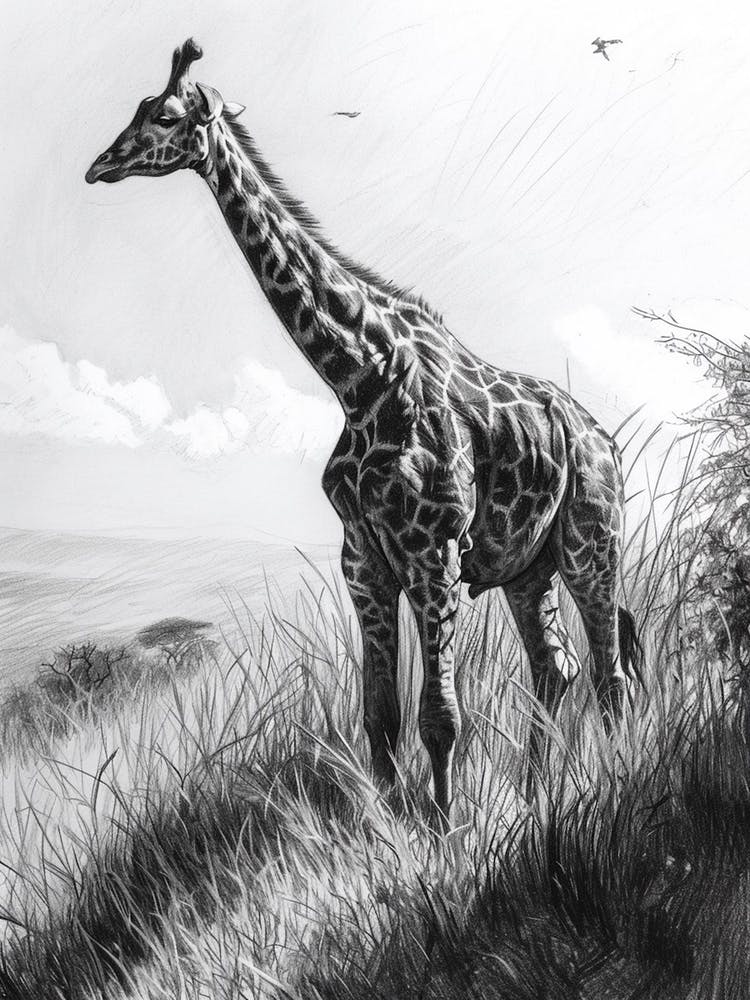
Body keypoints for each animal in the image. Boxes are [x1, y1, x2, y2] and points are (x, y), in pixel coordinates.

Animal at [86, 40, 637, 824]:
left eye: (163, 115)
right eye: (136, 109)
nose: (99, 165)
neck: (357, 375)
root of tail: (605, 440)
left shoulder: (432, 555)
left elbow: (441, 716)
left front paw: (444, 831)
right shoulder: (365, 559)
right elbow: (380, 715)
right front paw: (382, 827)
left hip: (592, 542)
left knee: (608, 670)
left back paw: (612, 784)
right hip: (526, 568)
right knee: (554, 668)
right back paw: (538, 797)